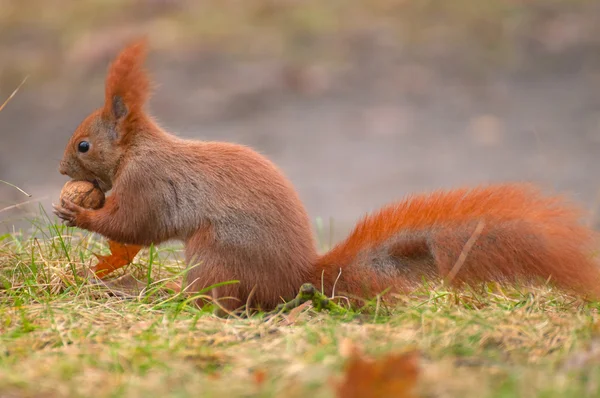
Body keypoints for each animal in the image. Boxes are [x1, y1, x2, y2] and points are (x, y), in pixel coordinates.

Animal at [52, 38, 600, 310]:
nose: (59, 169)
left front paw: (77, 214)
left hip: (215, 256)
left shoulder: (149, 183)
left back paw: (177, 300)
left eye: (84, 145)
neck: (137, 149)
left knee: (224, 301)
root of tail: (298, 278)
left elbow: (135, 225)